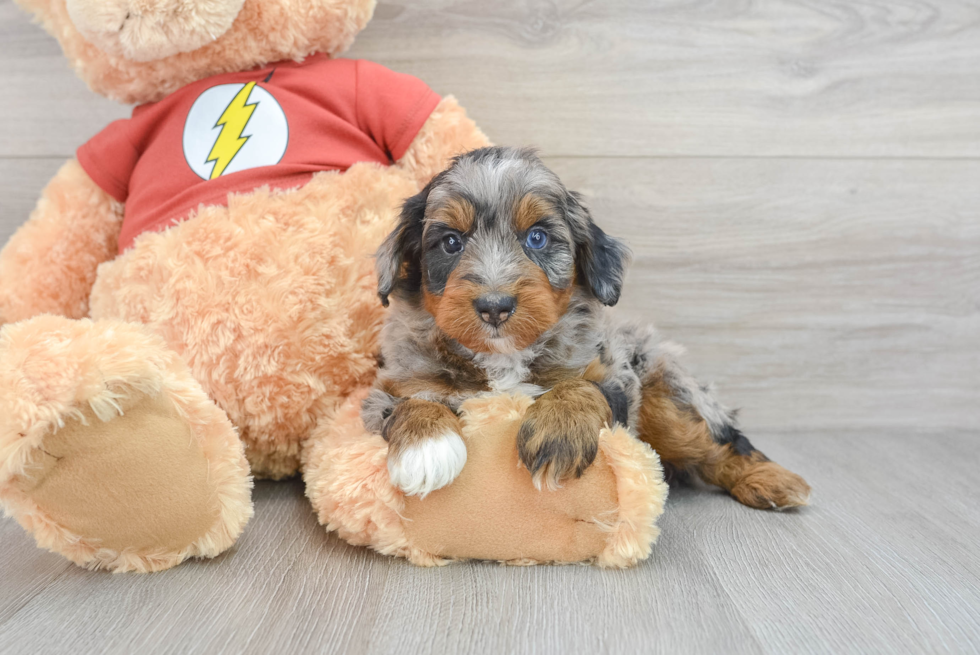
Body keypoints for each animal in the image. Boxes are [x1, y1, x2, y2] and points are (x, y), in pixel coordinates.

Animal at [364, 146, 808, 510]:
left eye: (537, 238)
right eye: (451, 243)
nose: (495, 307)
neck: (504, 356)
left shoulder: (615, 377)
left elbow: (580, 386)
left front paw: (559, 433)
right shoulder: (391, 384)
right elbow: (412, 399)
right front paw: (427, 447)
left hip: (667, 394)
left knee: (722, 441)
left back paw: (772, 480)